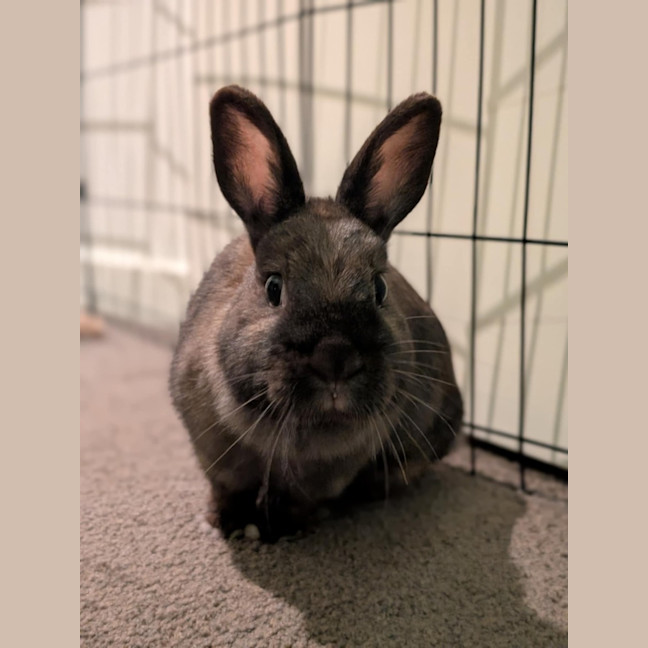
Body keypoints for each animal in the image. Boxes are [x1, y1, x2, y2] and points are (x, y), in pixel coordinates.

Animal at [169, 85, 463, 542]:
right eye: (274, 288)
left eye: (379, 288)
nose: (336, 357)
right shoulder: (215, 449)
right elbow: (230, 487)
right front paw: (231, 524)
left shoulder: (329, 470)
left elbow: (299, 498)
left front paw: (281, 528)